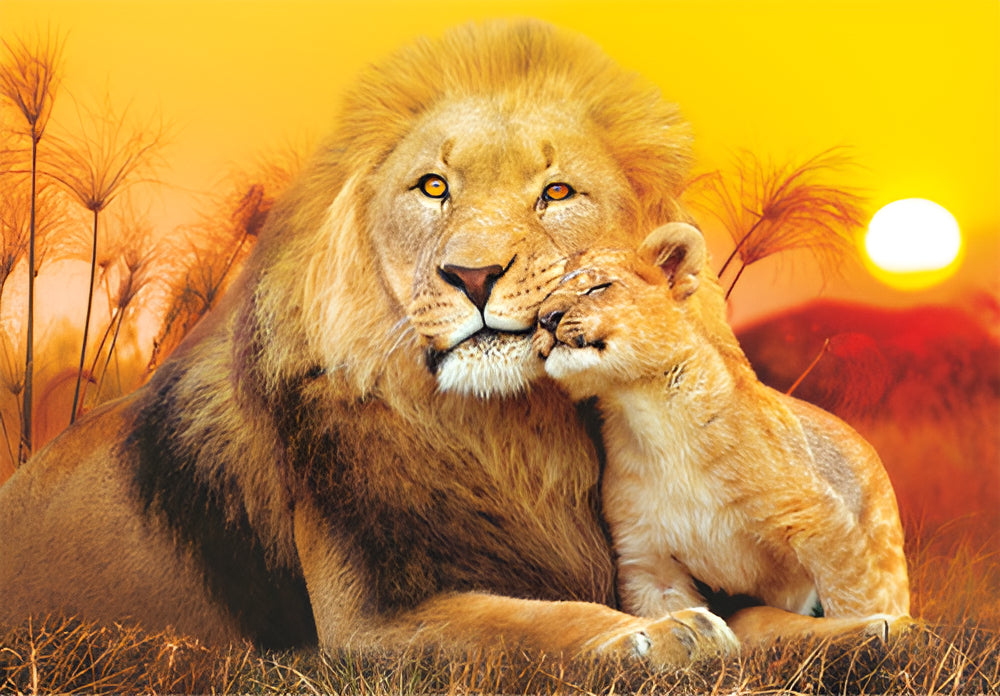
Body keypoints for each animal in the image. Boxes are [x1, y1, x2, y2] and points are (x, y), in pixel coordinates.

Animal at [533, 222, 912, 642]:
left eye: (598, 287)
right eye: (543, 299)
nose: (546, 318)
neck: (649, 411)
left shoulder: (823, 521)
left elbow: (851, 600)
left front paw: (871, 635)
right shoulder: (648, 557)